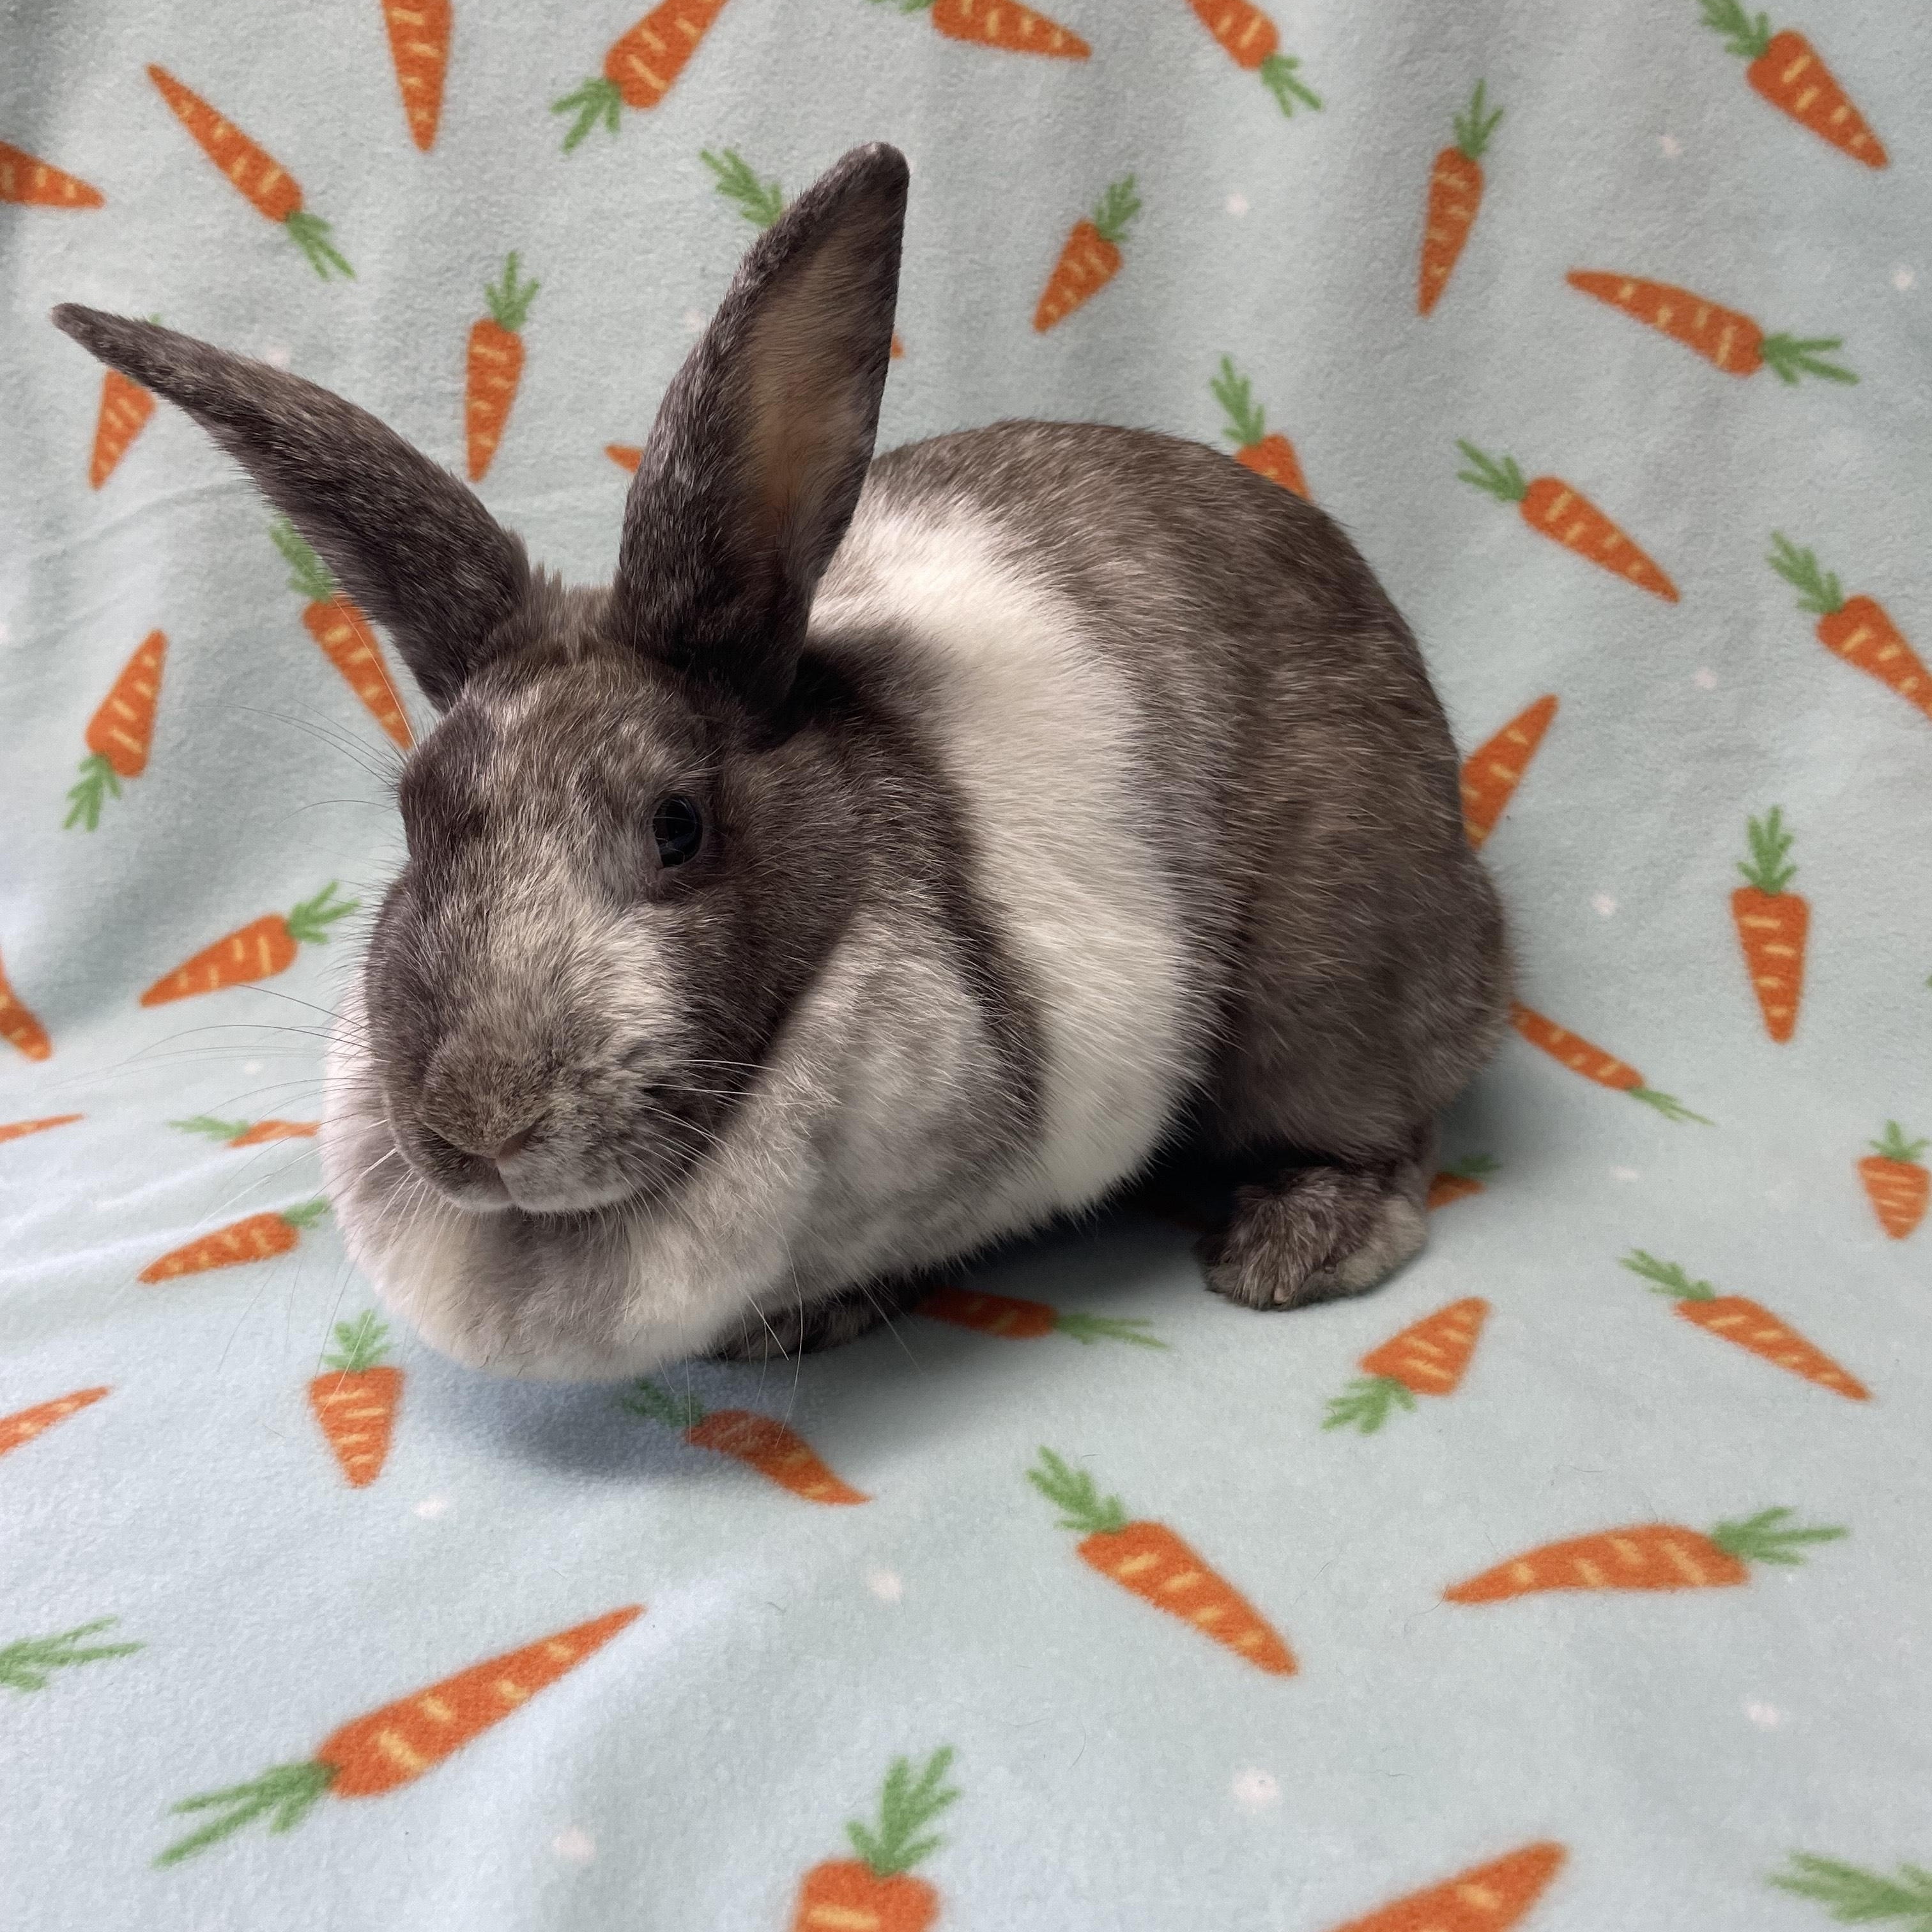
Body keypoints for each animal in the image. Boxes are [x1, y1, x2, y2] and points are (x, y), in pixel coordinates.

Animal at [53, 142, 1508, 1381]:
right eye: (414, 820)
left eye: (679, 826)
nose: (480, 1129)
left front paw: (802, 1320)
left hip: (1331, 979)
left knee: (1392, 1127)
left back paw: (1298, 1241)